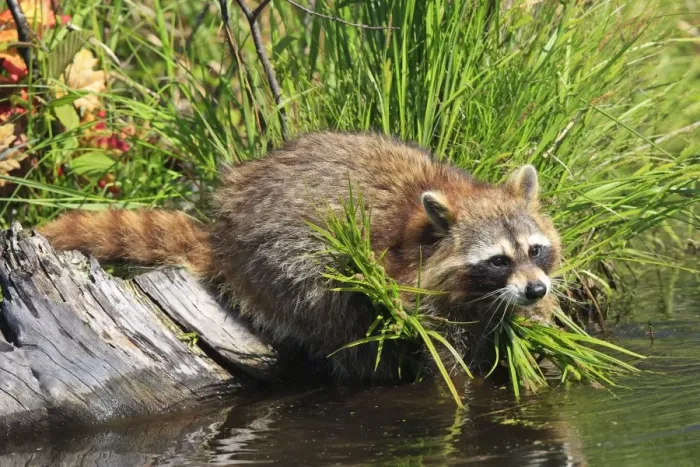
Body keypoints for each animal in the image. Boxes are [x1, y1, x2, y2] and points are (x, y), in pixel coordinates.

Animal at [39, 132, 561, 381]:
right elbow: (442, 355)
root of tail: (225, 234)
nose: (536, 290)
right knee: (333, 312)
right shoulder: (413, 287)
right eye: (498, 260)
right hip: (279, 262)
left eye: (535, 250)